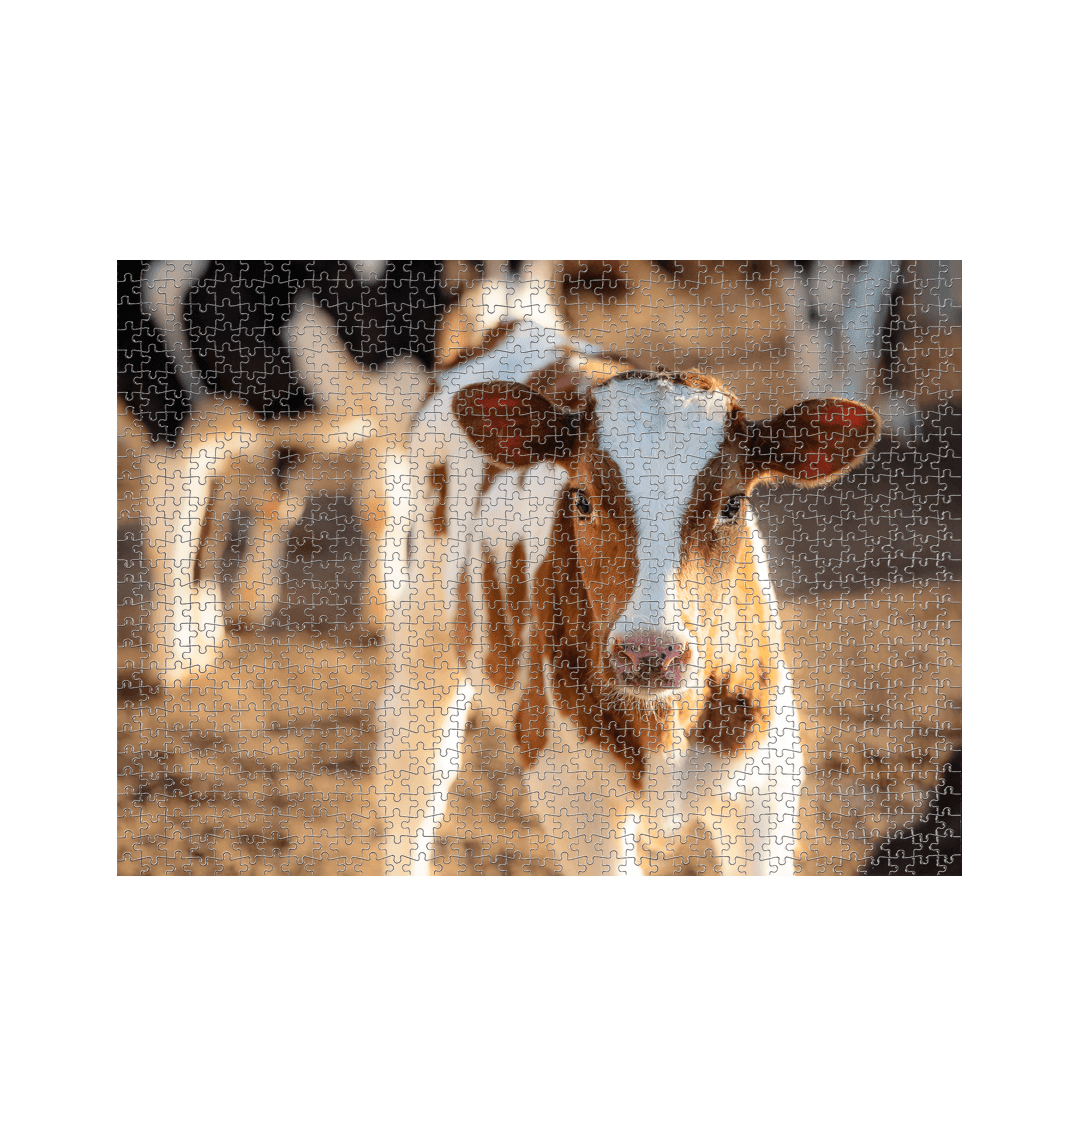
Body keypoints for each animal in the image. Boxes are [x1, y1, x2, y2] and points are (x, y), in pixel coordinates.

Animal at [376, 320, 881, 875]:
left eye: (732, 504)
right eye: (581, 499)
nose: (650, 653)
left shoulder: (766, 786)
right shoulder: (576, 798)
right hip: (423, 636)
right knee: (413, 774)